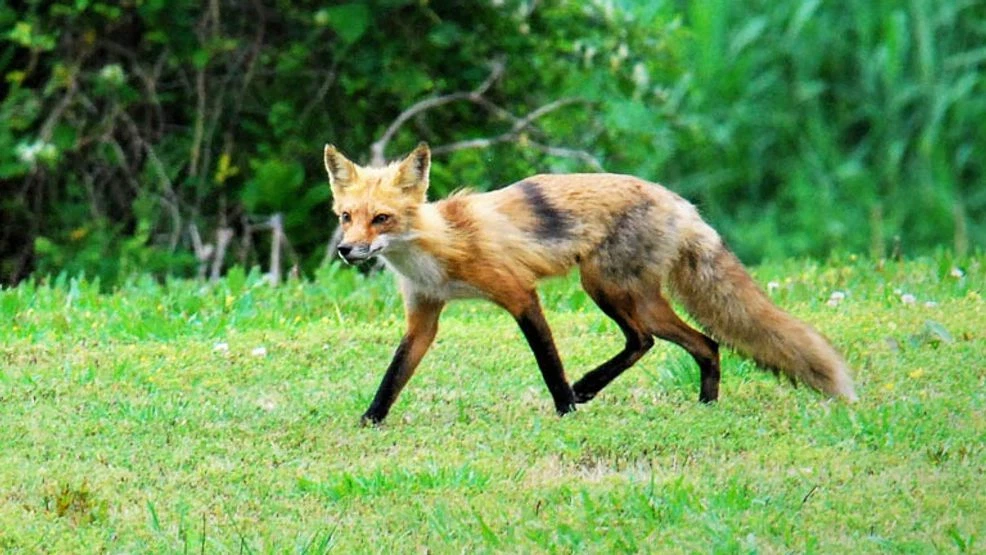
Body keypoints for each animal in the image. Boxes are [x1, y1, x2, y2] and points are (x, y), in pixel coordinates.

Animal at [323, 142, 858, 425]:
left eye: (382, 218)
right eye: (346, 217)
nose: (346, 250)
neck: (439, 242)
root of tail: (682, 204)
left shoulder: (520, 294)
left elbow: (549, 363)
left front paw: (565, 410)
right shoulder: (424, 317)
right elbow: (393, 377)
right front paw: (369, 423)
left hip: (604, 288)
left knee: (648, 340)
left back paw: (588, 389)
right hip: (635, 297)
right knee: (703, 344)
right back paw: (705, 405)